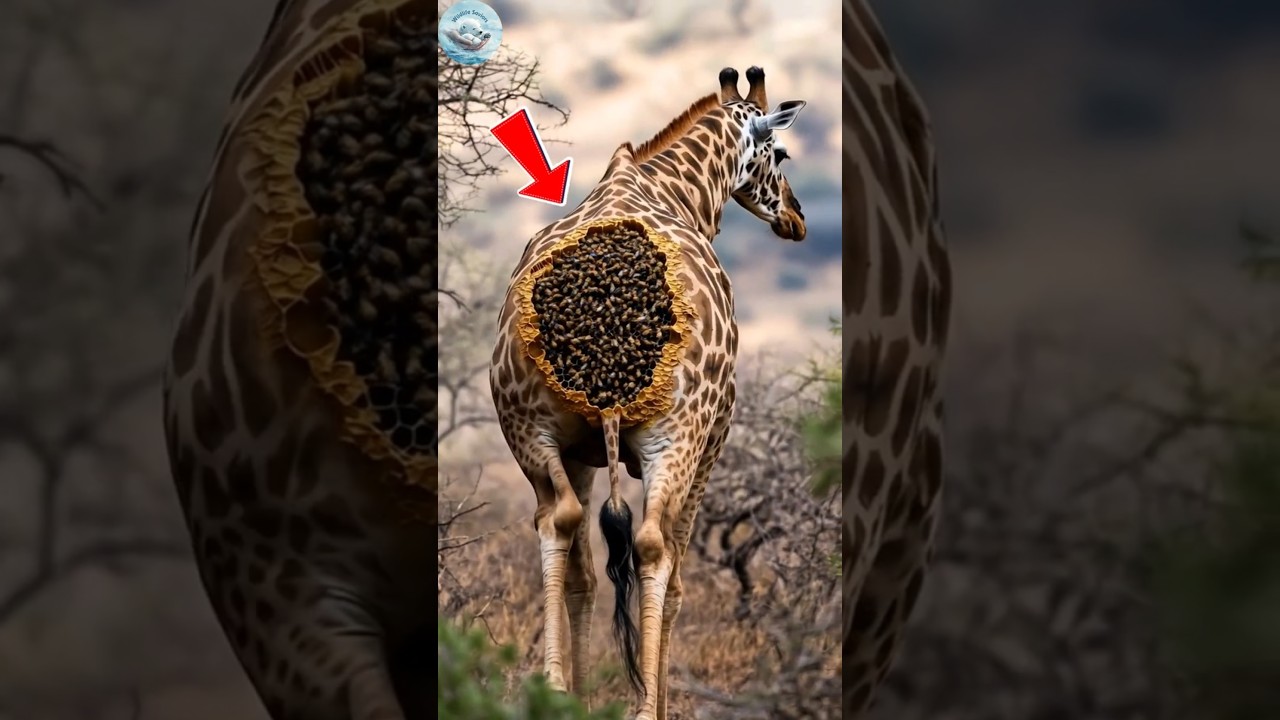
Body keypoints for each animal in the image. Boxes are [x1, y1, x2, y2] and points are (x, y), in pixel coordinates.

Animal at [489, 67, 809, 720]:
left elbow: (584, 574)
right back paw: (640, 707)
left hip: (530, 428)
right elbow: (676, 574)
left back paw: (554, 689)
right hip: (678, 434)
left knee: (559, 523)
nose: (796, 218)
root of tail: (609, 357)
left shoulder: (579, 452)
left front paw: (581, 694)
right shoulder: (717, 434)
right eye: (782, 153)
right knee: (653, 546)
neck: (675, 187)